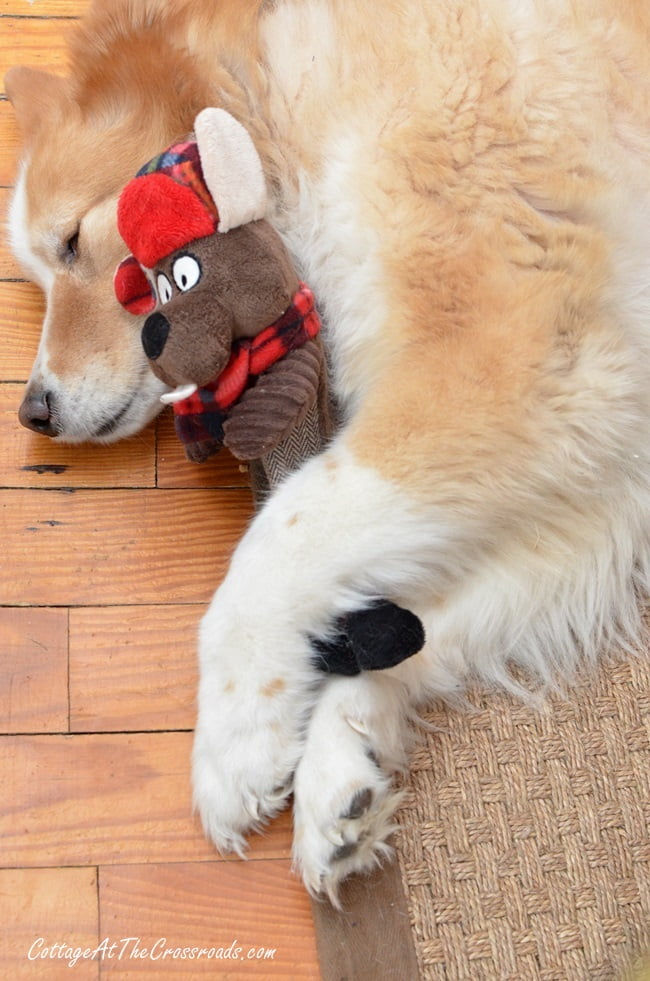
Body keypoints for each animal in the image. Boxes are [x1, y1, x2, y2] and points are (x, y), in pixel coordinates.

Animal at [5, 0, 648, 900]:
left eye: (70, 241)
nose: (32, 411)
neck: (291, 94)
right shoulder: (605, 476)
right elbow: (405, 616)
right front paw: (342, 766)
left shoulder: (519, 362)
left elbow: (282, 536)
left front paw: (238, 731)